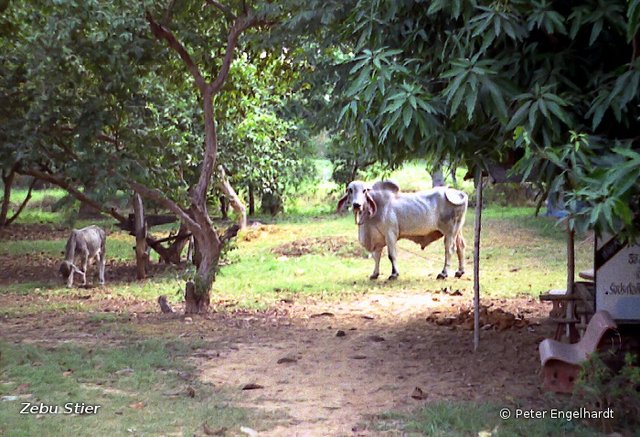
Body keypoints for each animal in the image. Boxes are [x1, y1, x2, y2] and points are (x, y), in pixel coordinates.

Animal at [338, 180, 468, 280]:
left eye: (364, 190)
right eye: (350, 190)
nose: (356, 205)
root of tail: (458, 193)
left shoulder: (390, 234)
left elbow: (392, 255)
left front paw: (394, 274)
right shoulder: (378, 238)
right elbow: (376, 256)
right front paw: (375, 274)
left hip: (450, 232)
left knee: (450, 250)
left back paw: (444, 273)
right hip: (457, 230)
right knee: (460, 246)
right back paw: (460, 271)